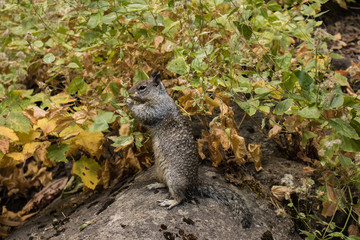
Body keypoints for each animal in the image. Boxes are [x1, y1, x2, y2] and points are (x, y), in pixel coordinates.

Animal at [125, 71, 252, 229]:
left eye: (142, 87)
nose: (128, 92)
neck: (160, 96)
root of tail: (194, 184)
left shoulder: (157, 110)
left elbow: (145, 114)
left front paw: (129, 102)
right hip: (161, 171)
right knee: (165, 185)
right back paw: (156, 184)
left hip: (175, 179)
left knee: (181, 196)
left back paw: (170, 202)